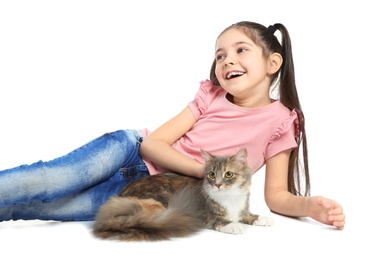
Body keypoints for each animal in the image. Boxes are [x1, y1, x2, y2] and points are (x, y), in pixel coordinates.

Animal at [93, 147, 274, 241]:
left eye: (228, 174)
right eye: (211, 174)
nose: (217, 184)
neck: (230, 197)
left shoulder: (242, 210)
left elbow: (249, 215)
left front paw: (263, 218)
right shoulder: (205, 216)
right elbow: (221, 220)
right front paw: (234, 225)